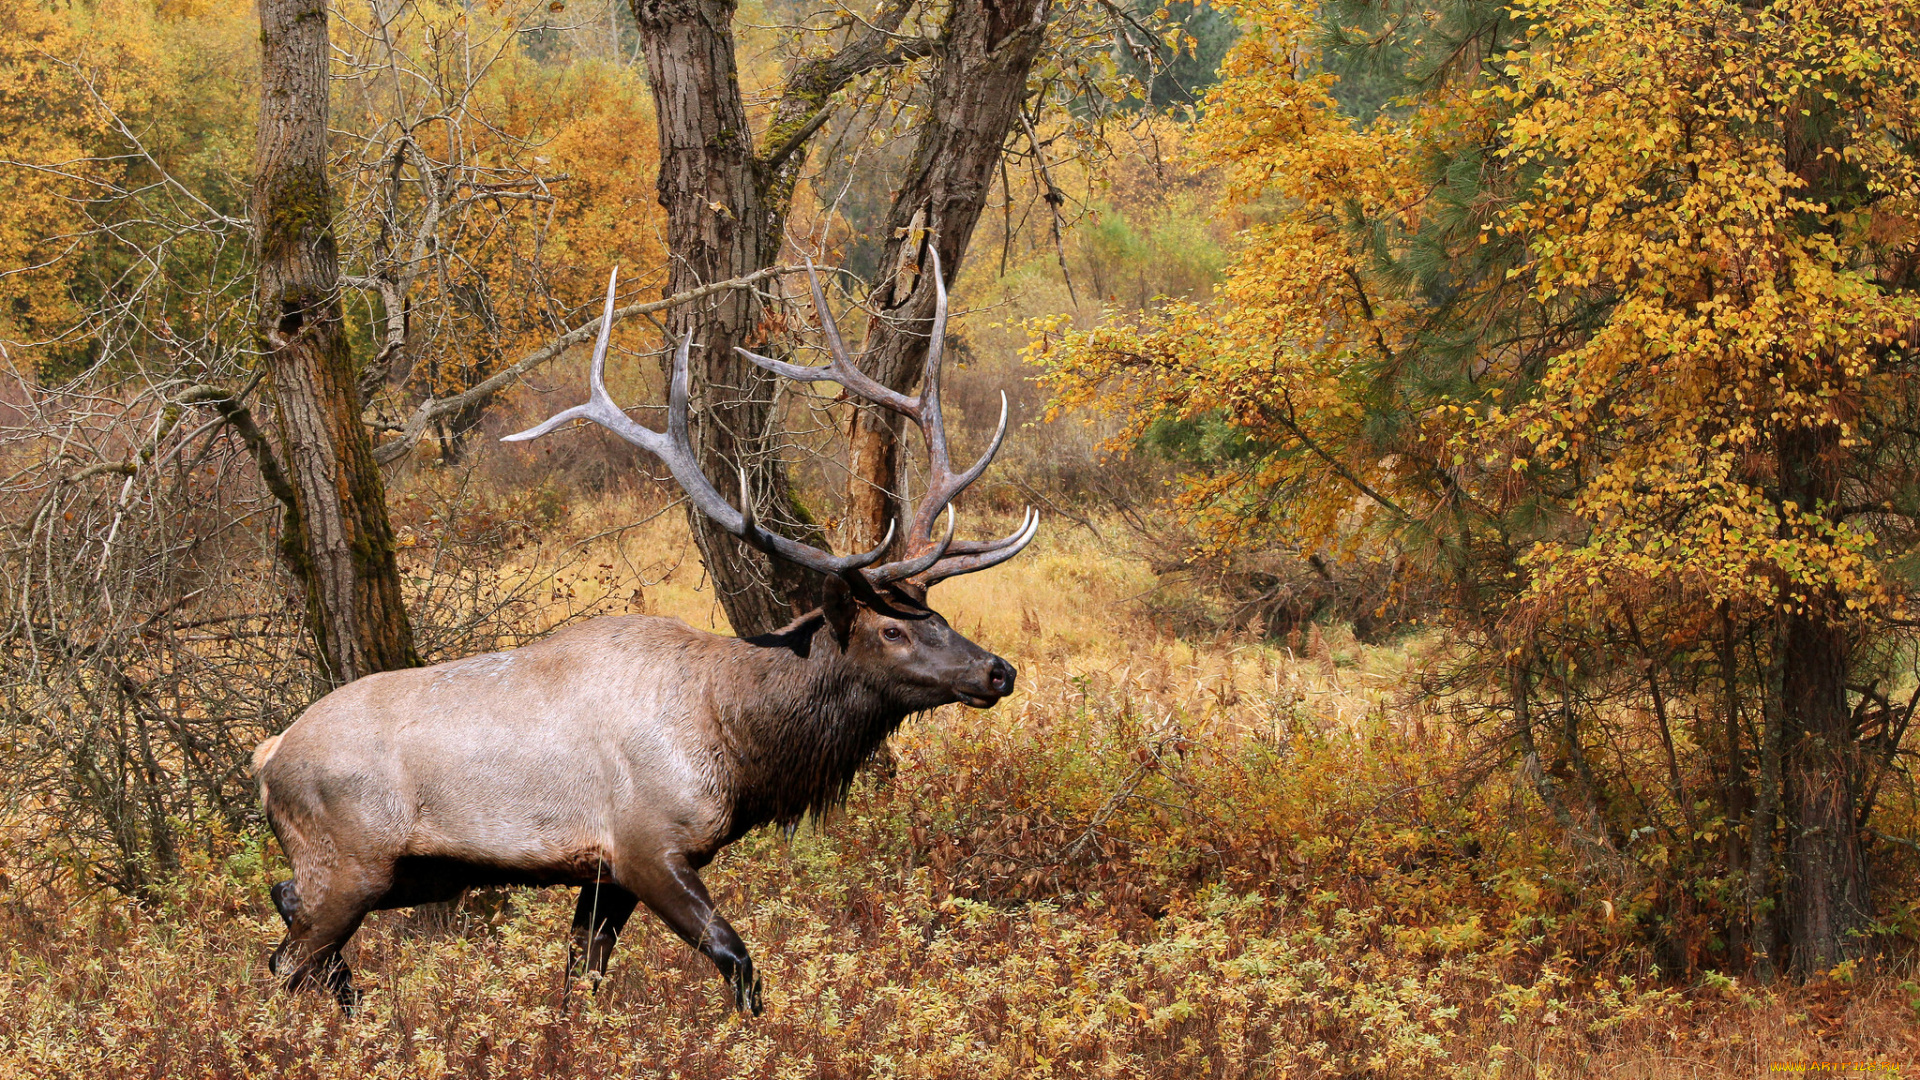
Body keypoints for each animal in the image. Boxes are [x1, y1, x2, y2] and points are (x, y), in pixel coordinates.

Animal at [255, 251, 1044, 1006]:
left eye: (939, 615)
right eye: (892, 632)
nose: (998, 669)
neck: (737, 741)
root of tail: (268, 758)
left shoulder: (601, 875)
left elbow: (584, 980)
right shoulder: (647, 845)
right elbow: (739, 962)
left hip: (402, 872)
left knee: (292, 922)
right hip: (349, 858)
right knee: (287, 960)